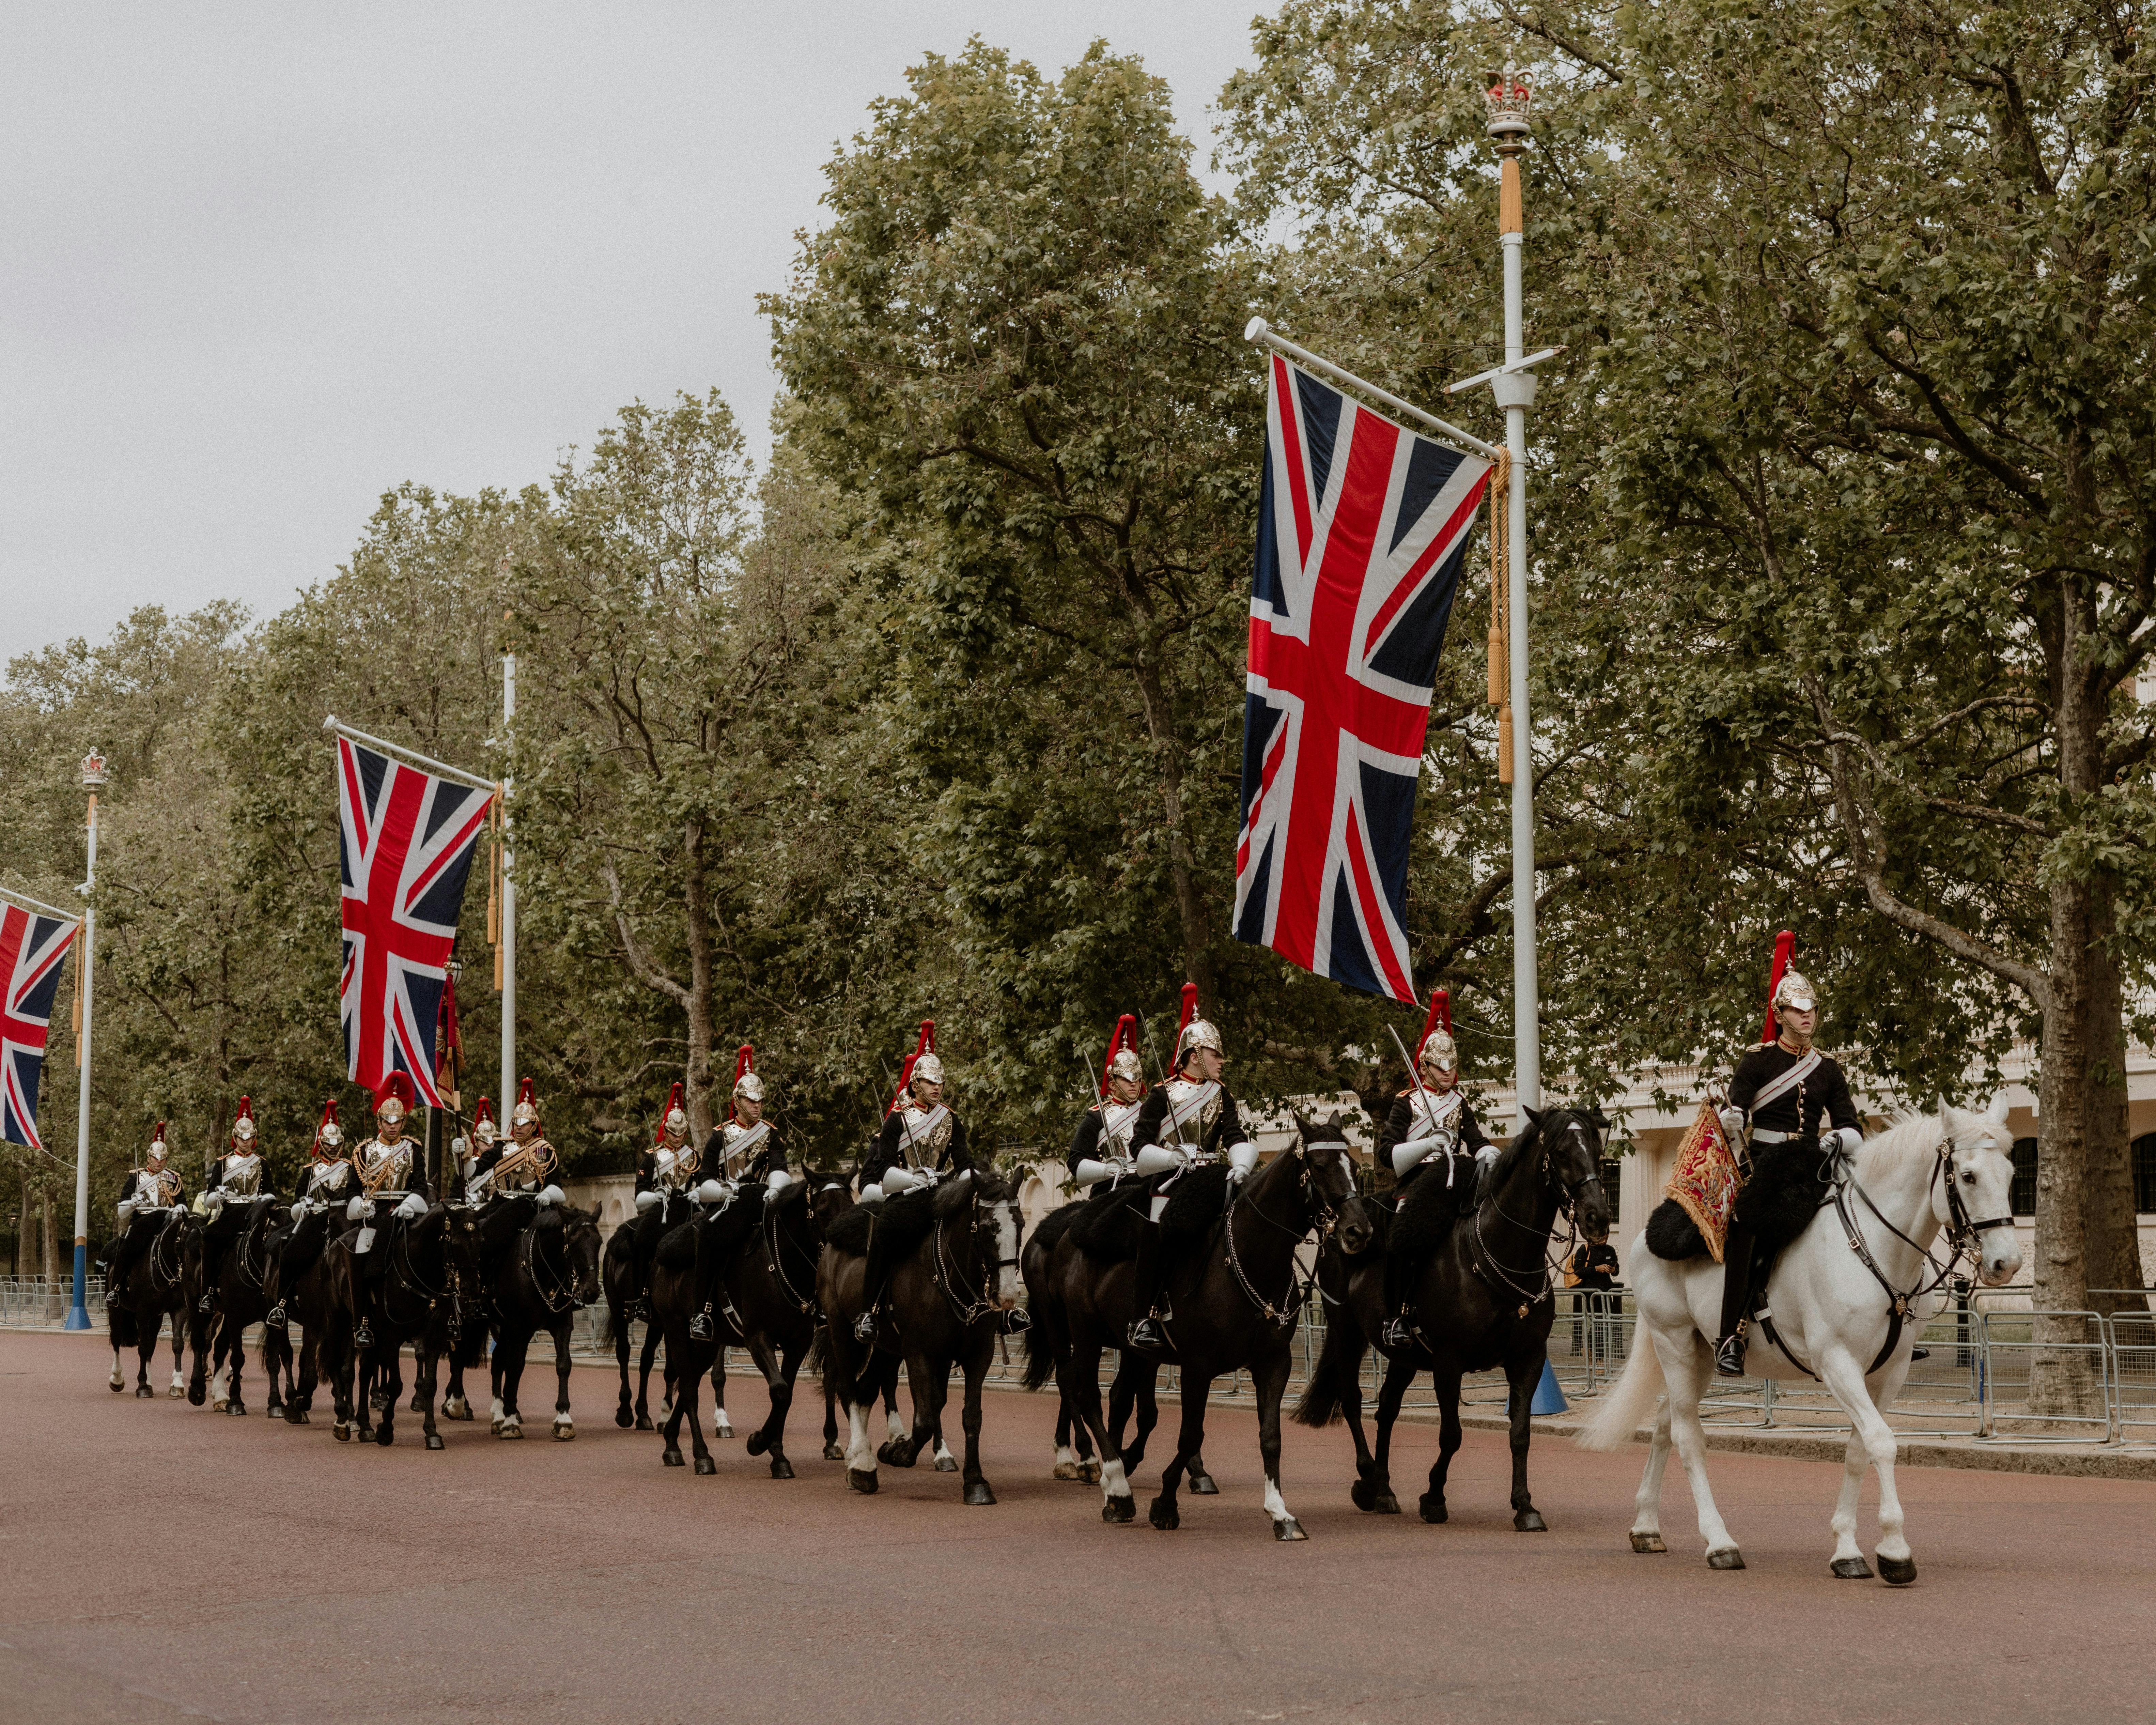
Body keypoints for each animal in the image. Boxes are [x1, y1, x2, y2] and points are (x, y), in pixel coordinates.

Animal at [103, 1216, 196, 1397]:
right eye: (187, 1240)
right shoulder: (143, 1312)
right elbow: (143, 1347)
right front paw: (142, 1386)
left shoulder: (179, 1310)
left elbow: (177, 1344)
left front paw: (177, 1384)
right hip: (116, 1311)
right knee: (116, 1339)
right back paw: (117, 1379)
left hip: (156, 1317)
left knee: (152, 1345)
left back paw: (150, 1382)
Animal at [823, 1164, 1026, 1500]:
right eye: (986, 1227)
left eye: (1020, 1224)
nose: (1008, 1295)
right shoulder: (919, 1352)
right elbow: (925, 1418)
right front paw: (899, 1452)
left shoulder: (977, 1355)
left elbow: (969, 1414)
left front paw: (975, 1481)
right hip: (842, 1332)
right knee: (847, 1389)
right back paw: (862, 1463)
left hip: (884, 1348)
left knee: (866, 1390)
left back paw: (858, 1460)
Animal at [1026, 1121, 1362, 1535]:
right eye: (1318, 1165)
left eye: (1353, 1165)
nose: (1358, 1231)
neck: (1247, 1261)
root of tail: (1069, 1229)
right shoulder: (1197, 1366)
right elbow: (1189, 1433)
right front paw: (1165, 1504)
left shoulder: (1273, 1363)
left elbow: (1270, 1436)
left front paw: (1280, 1512)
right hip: (1080, 1332)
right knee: (1083, 1393)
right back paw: (1112, 1483)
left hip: (1129, 1347)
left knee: (1114, 1397)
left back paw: (1110, 1473)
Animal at [1285, 1104, 1613, 1526]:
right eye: (1559, 1153)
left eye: (1596, 1149)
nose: (1597, 1218)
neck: (1499, 1255)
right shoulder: (1448, 1360)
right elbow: (1451, 1434)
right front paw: (1434, 1497)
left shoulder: (1527, 1359)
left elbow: (1520, 1433)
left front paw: (1524, 1505)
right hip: (1347, 1332)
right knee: (1353, 1400)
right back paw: (1367, 1481)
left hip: (1404, 1354)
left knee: (1387, 1408)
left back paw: (1384, 1488)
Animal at [1587, 1099, 2018, 1587]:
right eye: (1967, 1175)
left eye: (2009, 1171)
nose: (2006, 1263)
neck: (1874, 1248)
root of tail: (1646, 1235)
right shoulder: (1836, 1362)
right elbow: (1881, 1441)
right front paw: (1894, 1549)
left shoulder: (1889, 1372)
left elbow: (1858, 1449)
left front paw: (1847, 1549)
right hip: (1673, 1340)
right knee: (1687, 1435)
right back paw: (1719, 1542)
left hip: (1699, 1353)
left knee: (1665, 1422)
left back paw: (1646, 1526)